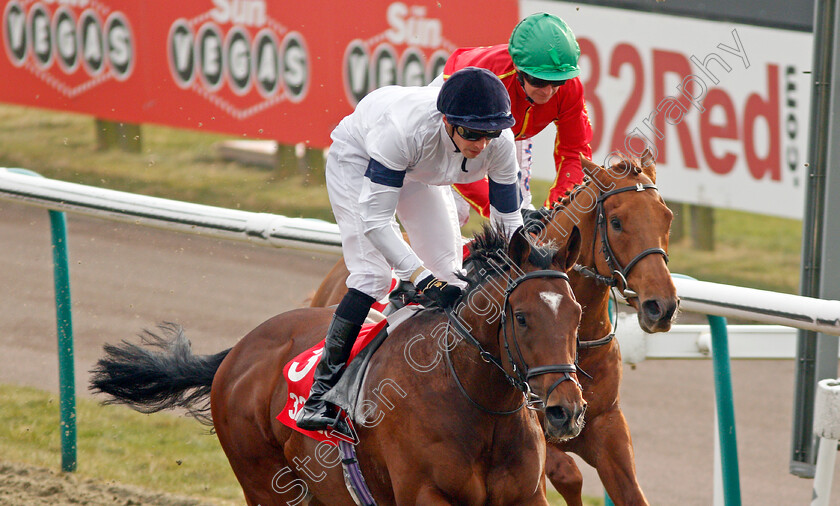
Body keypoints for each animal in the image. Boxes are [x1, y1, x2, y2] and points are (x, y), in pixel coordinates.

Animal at [90, 226, 584, 506]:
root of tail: (237, 353)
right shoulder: (425, 495)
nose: (566, 411)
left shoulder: (526, 496)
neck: (475, 403)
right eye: (522, 317)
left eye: (577, 314)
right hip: (266, 486)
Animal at [312, 151, 680, 506]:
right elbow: (569, 475)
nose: (661, 305)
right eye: (617, 223)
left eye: (667, 218)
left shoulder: (606, 423)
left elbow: (631, 493)